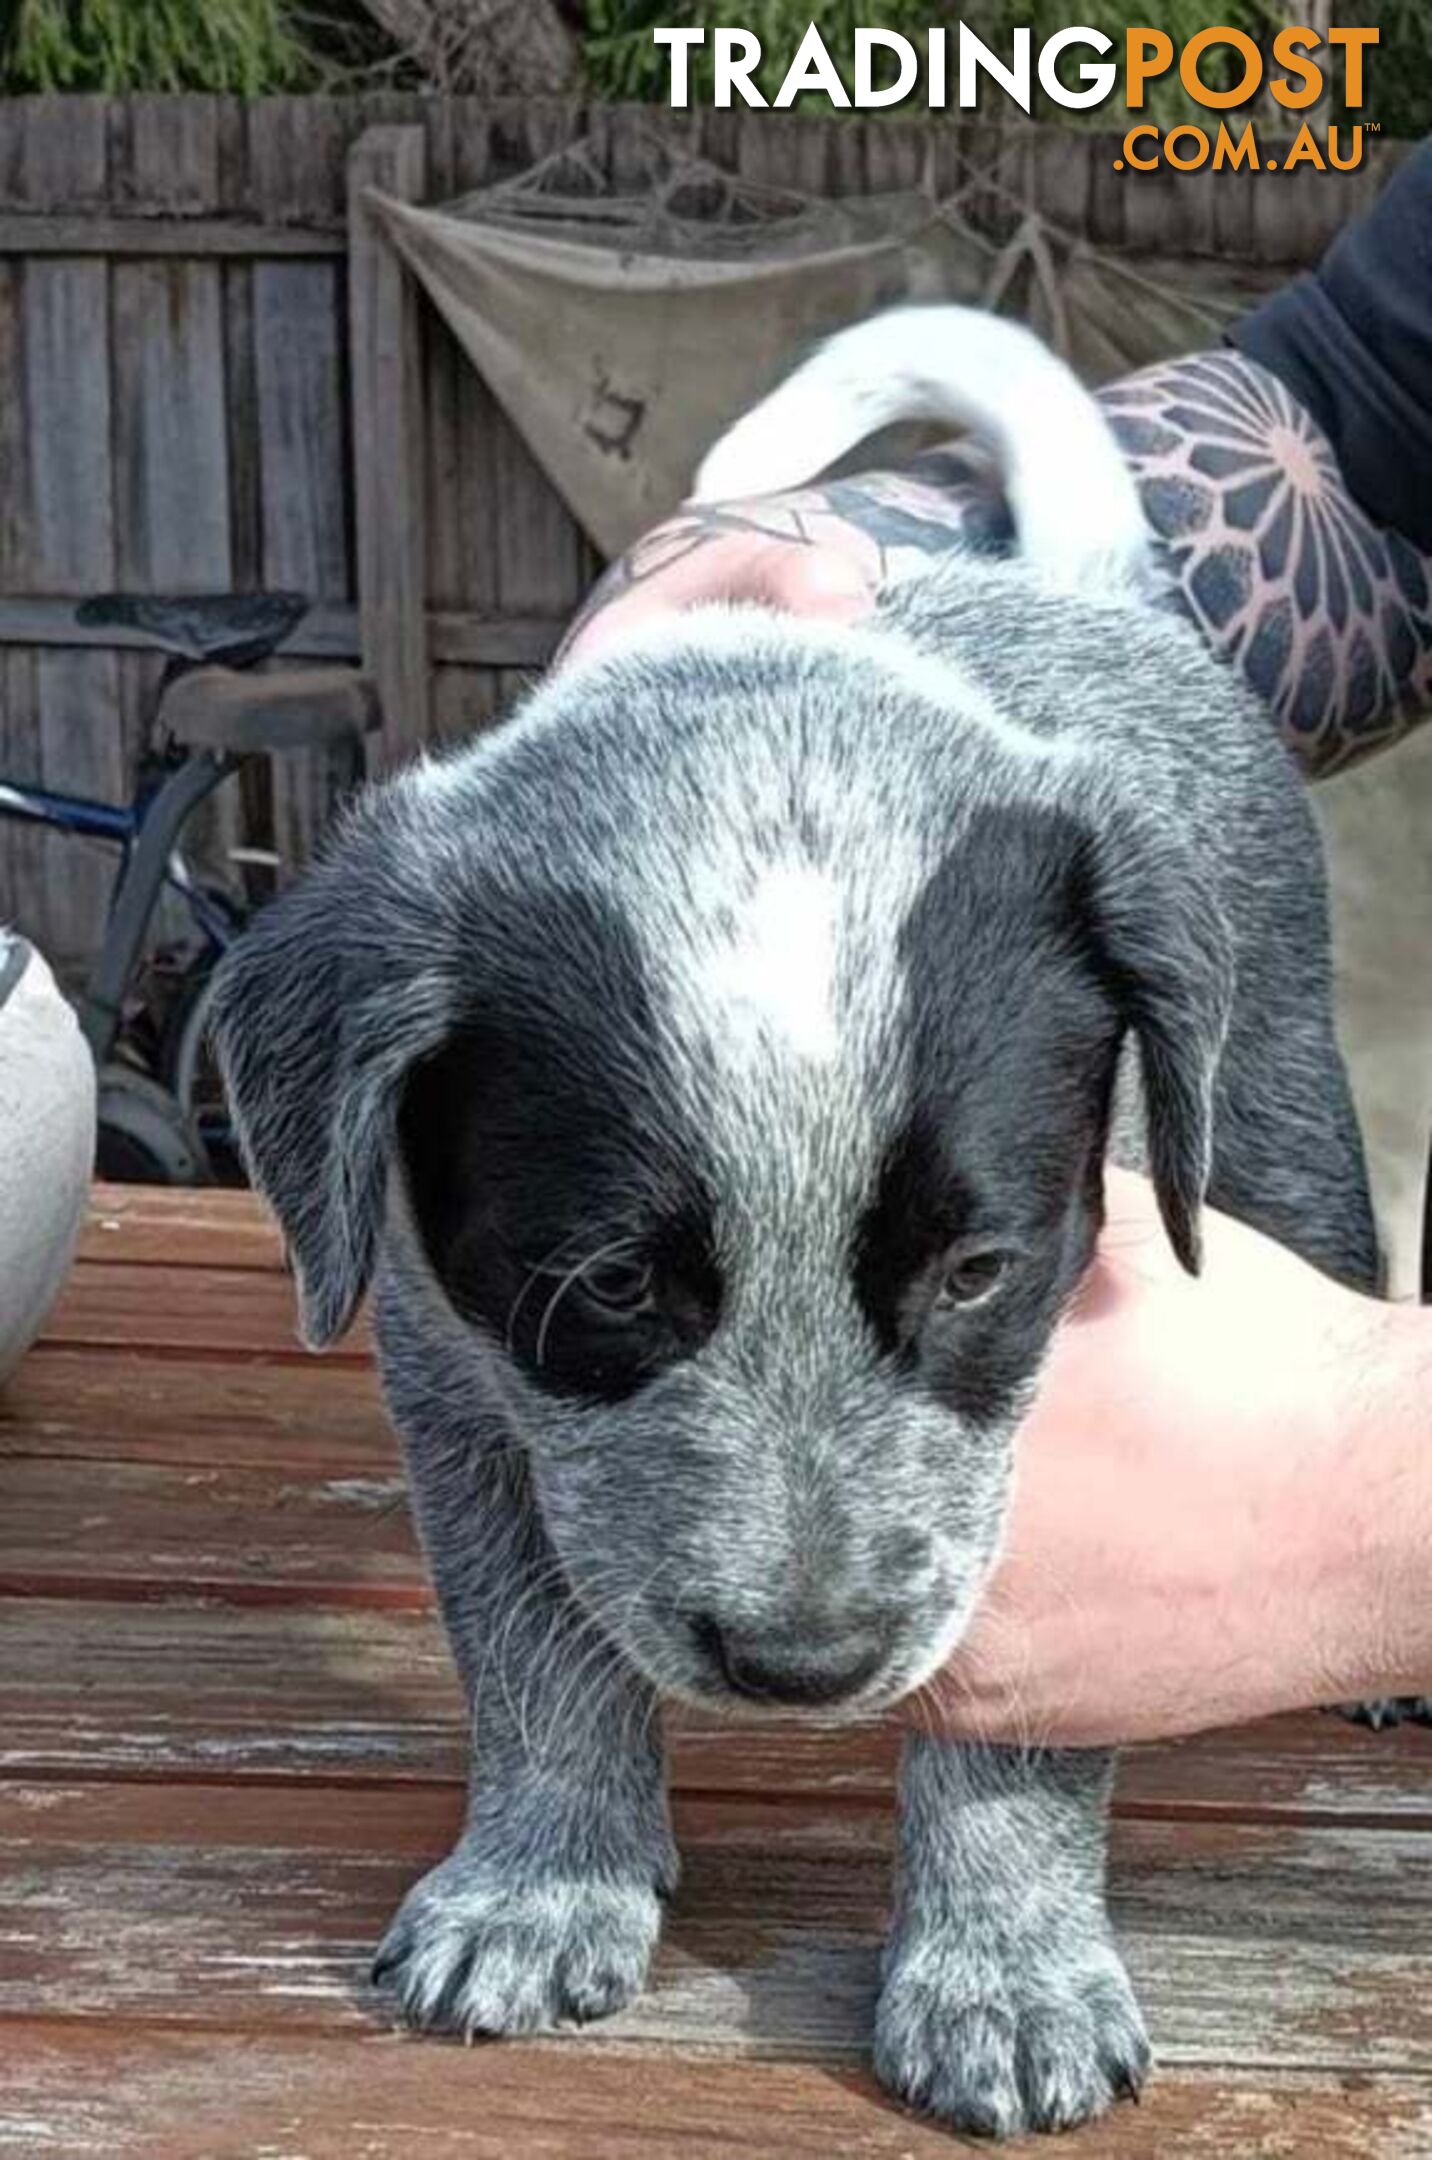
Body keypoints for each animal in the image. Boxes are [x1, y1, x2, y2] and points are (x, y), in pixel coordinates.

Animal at [212, 308, 1382, 2142]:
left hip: (1270, 1083)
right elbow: (530, 1654)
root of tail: (1082, 588)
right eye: (611, 1285)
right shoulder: (455, 1384)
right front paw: (542, 1876)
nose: (810, 1660)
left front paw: (1005, 1966)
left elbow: (1017, 1737)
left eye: (978, 1272)